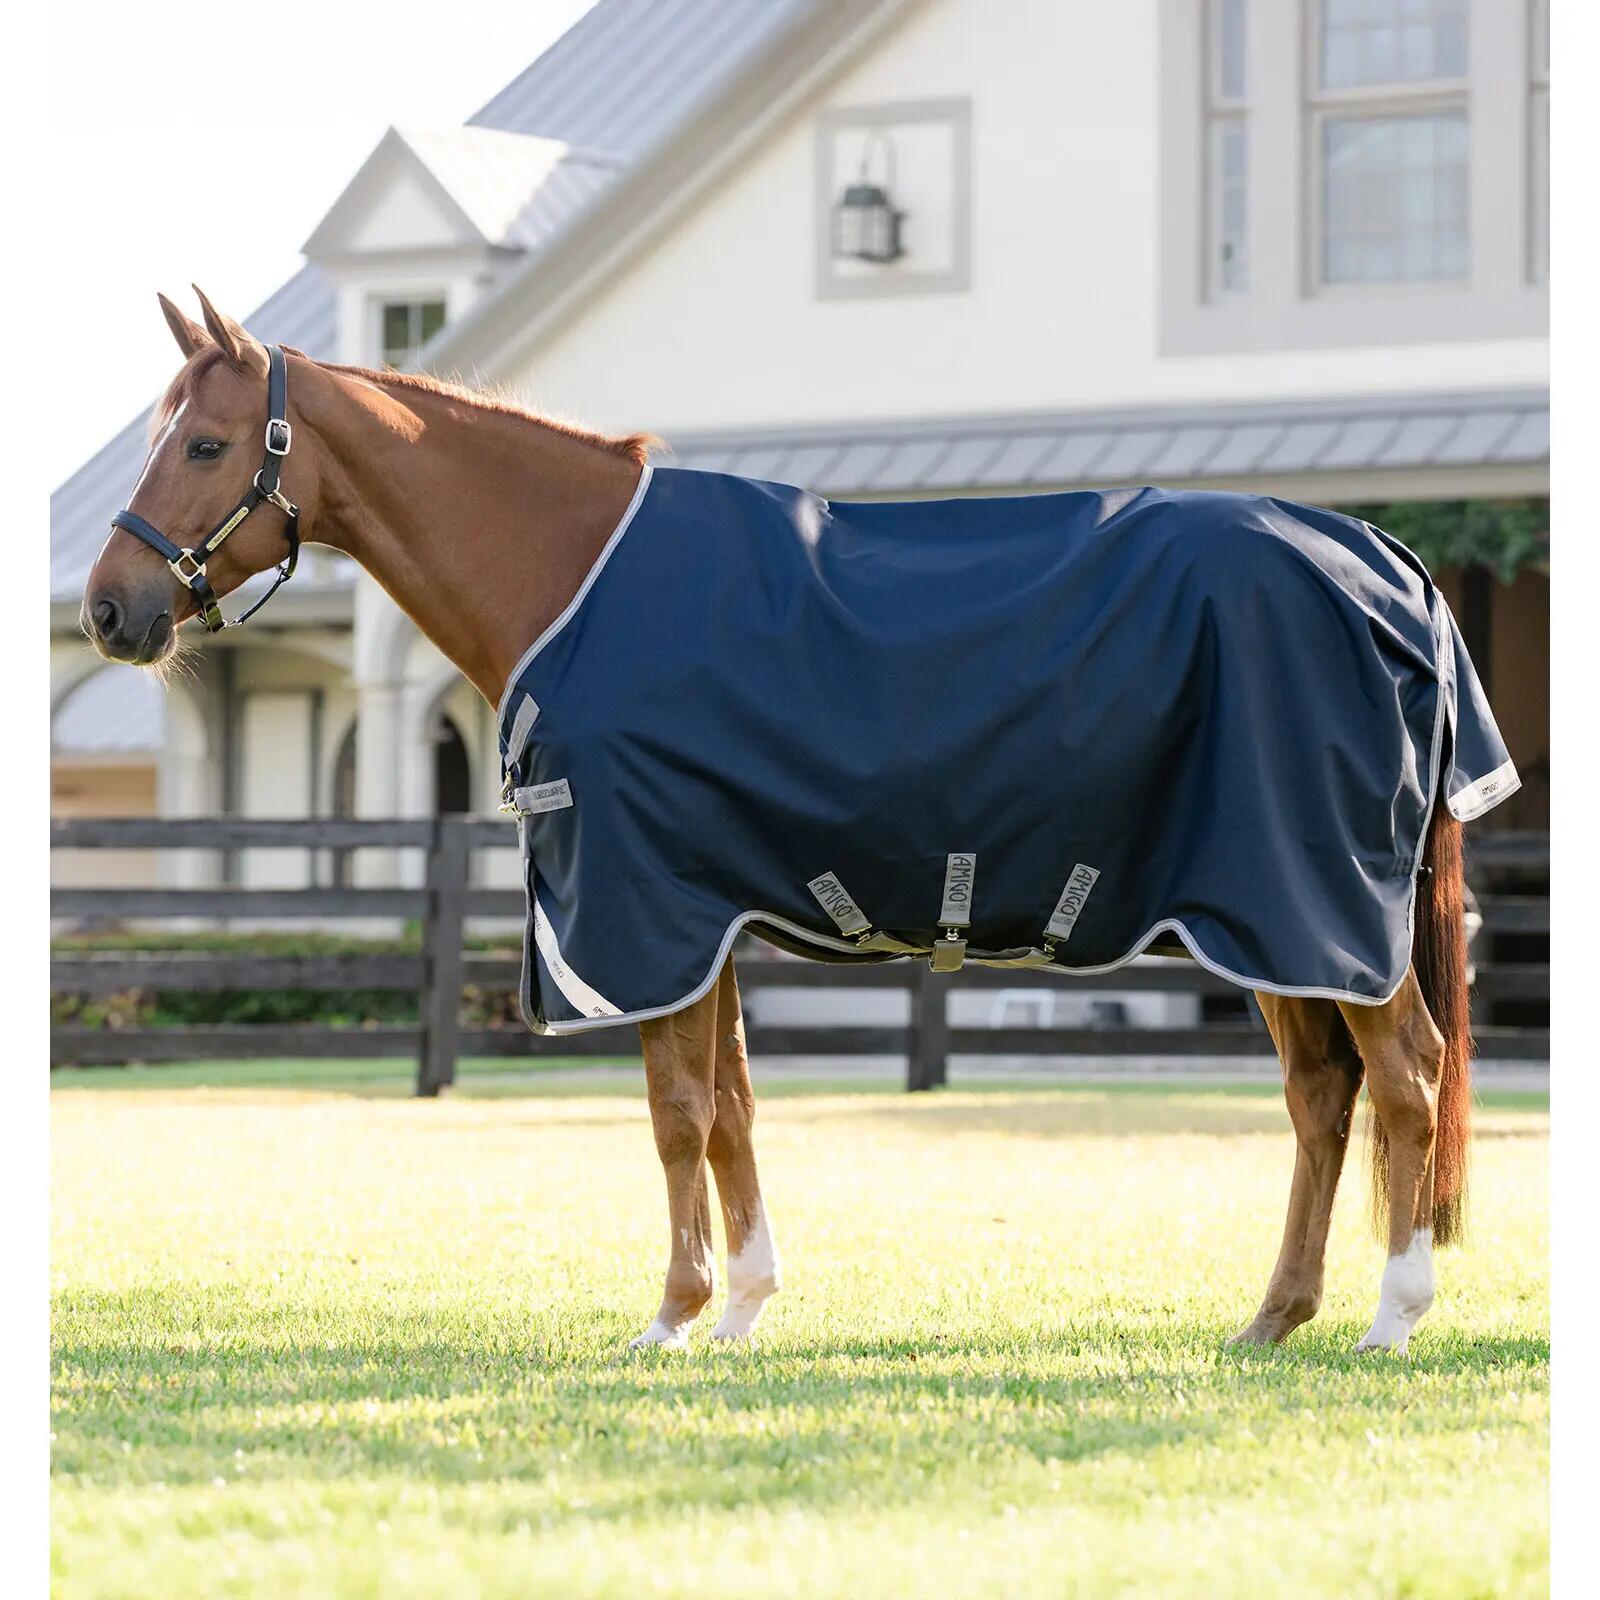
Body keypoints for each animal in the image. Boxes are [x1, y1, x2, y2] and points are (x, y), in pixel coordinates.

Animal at [82, 288, 1482, 1355]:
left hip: (1314, 907)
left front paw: (672, 1316)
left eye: (205, 445)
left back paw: (1392, 1316)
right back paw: (1274, 1317)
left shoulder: (650, 908)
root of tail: (1388, 567)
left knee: (1405, 1076)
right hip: (1273, 921)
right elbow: (733, 1106)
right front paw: (745, 1307)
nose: (107, 609)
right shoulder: (709, 914)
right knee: (1322, 1096)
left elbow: (676, 1112)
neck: (575, 573)